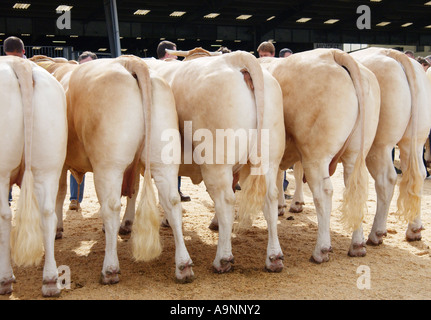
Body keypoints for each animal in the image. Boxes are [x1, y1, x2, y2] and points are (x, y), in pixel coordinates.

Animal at [0, 55, 67, 298]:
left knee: (4, 217)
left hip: (2, 170)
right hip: (48, 166)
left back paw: (5, 279)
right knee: (47, 213)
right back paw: (50, 280)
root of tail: (19, 64)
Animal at [29, 55, 193, 284]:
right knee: (171, 201)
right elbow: (132, 190)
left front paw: (58, 229)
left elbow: (58, 196)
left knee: (111, 206)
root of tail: (129, 61)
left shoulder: (57, 162)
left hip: (108, 166)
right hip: (163, 161)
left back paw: (110, 268)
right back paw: (183, 266)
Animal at [143, 51, 288, 274]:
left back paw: (223, 259)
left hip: (216, 164)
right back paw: (274, 257)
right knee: (269, 197)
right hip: (269, 160)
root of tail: (236, 58)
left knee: (226, 200)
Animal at [258, 48, 380, 262]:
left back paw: (321, 250)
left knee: (324, 192)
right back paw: (357, 245)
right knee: (355, 189)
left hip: (315, 156)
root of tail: (335, 53)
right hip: (355, 153)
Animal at [352, 47, 431, 245]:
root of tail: (394, 54)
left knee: (386, 179)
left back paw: (376, 233)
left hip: (379, 145)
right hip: (415, 140)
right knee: (417, 174)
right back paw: (414, 230)